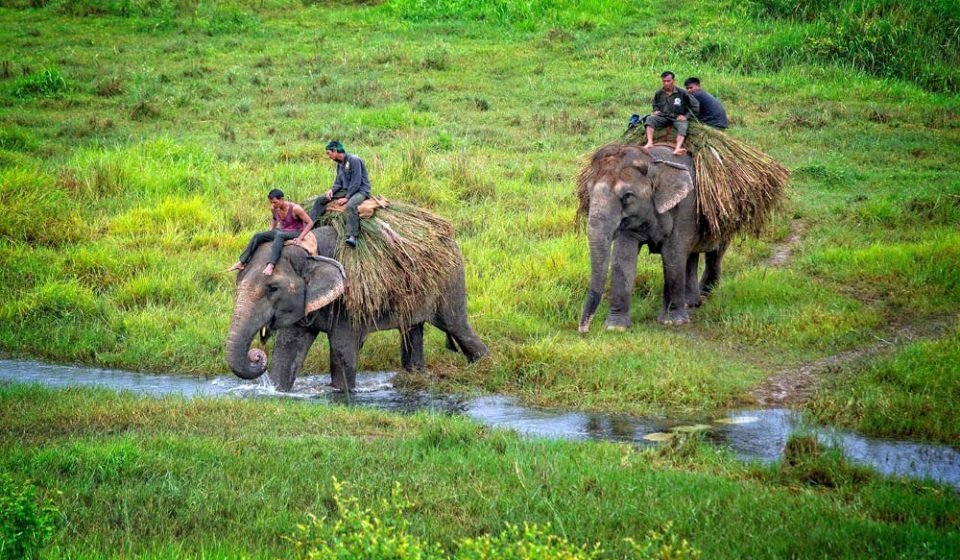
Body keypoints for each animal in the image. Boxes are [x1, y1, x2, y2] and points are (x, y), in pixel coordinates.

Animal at [227, 223, 488, 390]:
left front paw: (343, 393)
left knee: (457, 326)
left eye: (272, 288)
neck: (310, 251)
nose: (256, 355)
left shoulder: (349, 297)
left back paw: (484, 367)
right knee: (412, 331)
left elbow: (342, 349)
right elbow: (288, 348)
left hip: (450, 280)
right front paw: (277, 391)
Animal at [576, 142, 728, 332]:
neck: (652, 161)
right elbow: (623, 258)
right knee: (691, 256)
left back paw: (704, 295)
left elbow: (673, 255)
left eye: (627, 196)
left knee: (715, 251)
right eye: (588, 192)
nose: (583, 331)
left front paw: (672, 322)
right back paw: (691, 303)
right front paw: (616, 327)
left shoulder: (687, 205)